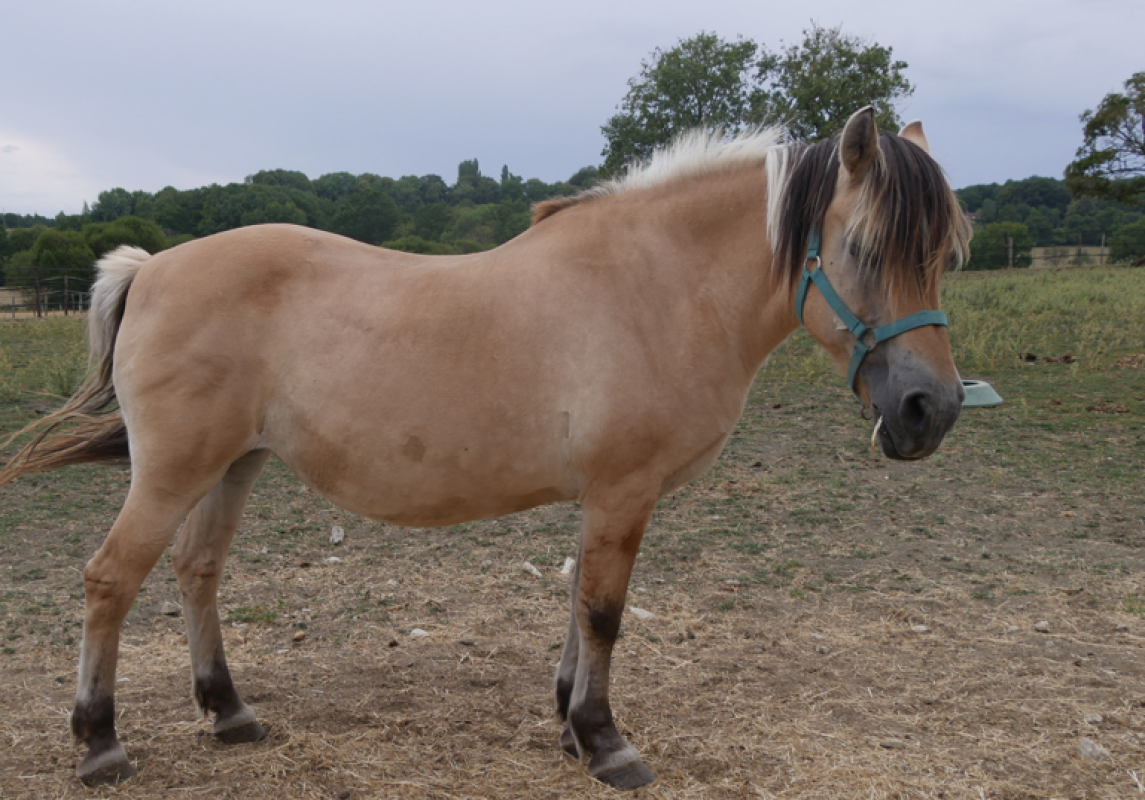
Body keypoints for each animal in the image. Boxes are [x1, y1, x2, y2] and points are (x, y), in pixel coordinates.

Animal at [0, 108, 971, 789]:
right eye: (862, 247)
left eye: (945, 254)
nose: (929, 409)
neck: (654, 286)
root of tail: (149, 267)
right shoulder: (623, 490)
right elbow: (604, 612)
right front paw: (604, 742)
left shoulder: (603, 498)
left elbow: (580, 603)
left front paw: (568, 722)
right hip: (172, 472)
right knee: (110, 580)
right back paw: (100, 742)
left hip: (231, 466)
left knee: (196, 570)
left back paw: (230, 713)